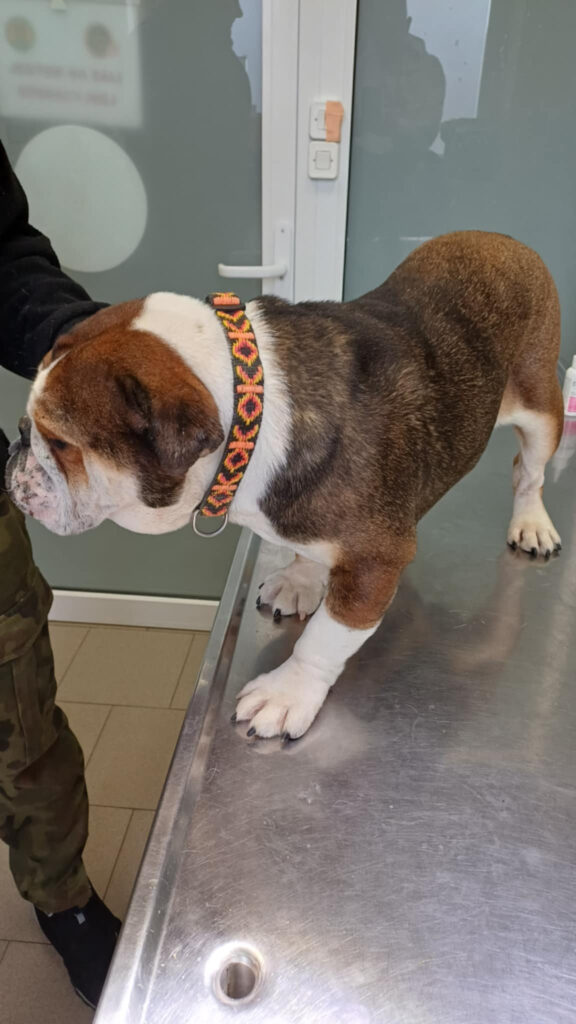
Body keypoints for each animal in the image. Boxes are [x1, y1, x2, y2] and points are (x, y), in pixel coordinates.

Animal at [7, 231, 564, 740]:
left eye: (60, 442)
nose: (17, 439)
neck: (249, 404)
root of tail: (504, 241)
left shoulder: (375, 560)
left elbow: (325, 638)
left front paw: (288, 692)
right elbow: (308, 551)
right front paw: (301, 578)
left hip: (541, 403)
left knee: (530, 469)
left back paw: (531, 523)